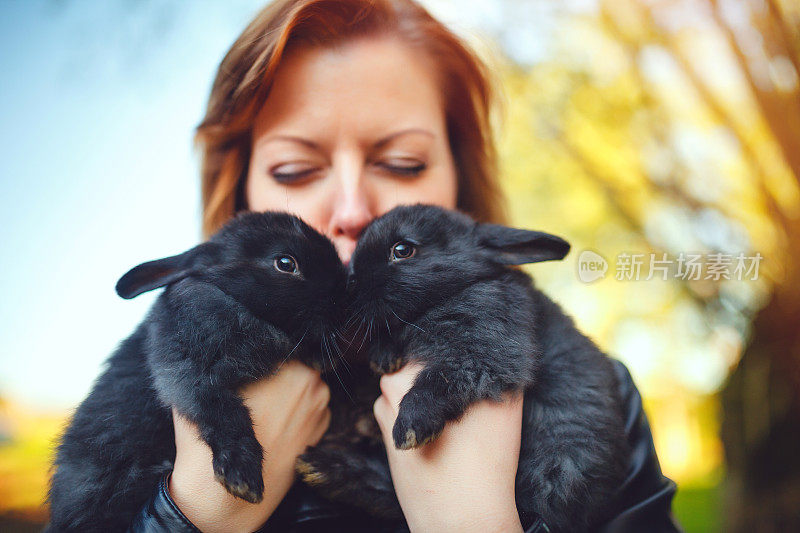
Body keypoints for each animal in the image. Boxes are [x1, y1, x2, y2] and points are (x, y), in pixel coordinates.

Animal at [48, 212, 346, 532]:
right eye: (286, 263)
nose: (343, 299)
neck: (234, 302)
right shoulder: (187, 374)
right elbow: (226, 414)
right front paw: (242, 478)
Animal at [300, 203, 632, 528]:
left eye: (403, 250)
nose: (350, 283)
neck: (454, 290)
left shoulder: (482, 351)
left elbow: (437, 381)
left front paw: (410, 429)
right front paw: (384, 356)